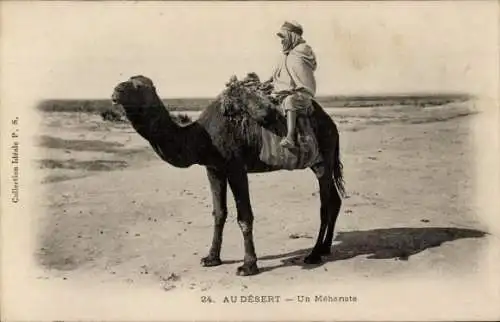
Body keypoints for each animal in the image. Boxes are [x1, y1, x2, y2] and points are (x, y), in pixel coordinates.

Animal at [110, 75, 346, 276]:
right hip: (322, 162)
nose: (116, 90)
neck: (201, 137)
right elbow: (219, 213)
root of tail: (332, 124)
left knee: (325, 206)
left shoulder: (235, 168)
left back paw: (314, 254)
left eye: (138, 86)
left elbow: (244, 216)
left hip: (322, 161)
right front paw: (211, 258)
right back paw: (325, 248)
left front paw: (248, 266)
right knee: (335, 200)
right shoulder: (214, 169)